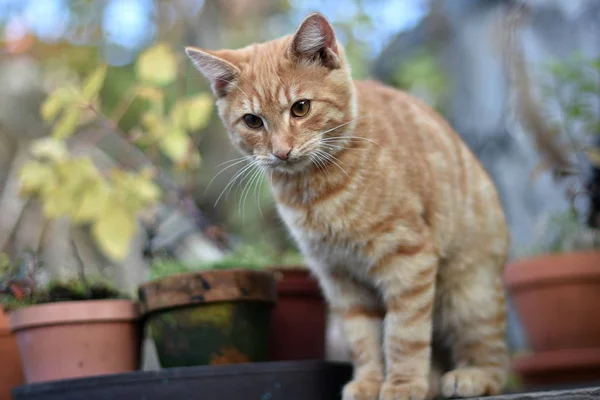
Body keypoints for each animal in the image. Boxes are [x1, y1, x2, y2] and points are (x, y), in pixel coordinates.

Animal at [185, 10, 508, 398]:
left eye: (301, 108)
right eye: (252, 121)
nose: (281, 151)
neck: (314, 191)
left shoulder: (408, 258)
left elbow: (404, 333)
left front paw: (401, 385)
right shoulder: (338, 276)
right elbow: (363, 339)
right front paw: (369, 382)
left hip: (470, 294)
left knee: (493, 355)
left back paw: (470, 376)